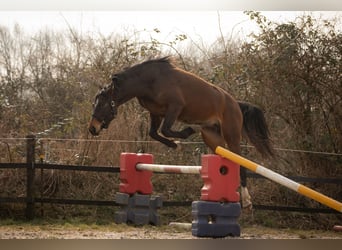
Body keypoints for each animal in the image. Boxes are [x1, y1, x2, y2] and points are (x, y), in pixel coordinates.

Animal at [89, 57, 274, 209]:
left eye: (102, 104)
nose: (93, 128)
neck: (149, 82)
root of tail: (236, 103)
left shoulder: (174, 108)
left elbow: (165, 130)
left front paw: (185, 135)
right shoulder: (156, 113)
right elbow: (154, 133)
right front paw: (175, 144)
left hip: (232, 135)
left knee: (240, 163)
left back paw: (247, 201)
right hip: (213, 138)